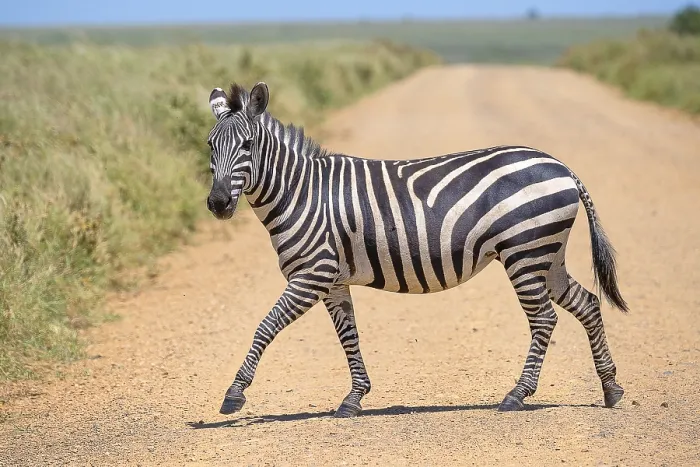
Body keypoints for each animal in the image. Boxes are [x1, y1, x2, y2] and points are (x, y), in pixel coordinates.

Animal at [205, 81, 628, 418]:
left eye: (247, 145)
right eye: (209, 146)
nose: (218, 203)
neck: (300, 193)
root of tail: (561, 166)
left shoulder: (312, 274)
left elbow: (265, 326)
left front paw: (234, 393)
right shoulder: (333, 281)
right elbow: (349, 335)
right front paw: (354, 398)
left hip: (525, 252)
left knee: (544, 319)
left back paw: (517, 395)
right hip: (546, 254)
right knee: (588, 304)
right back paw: (610, 388)